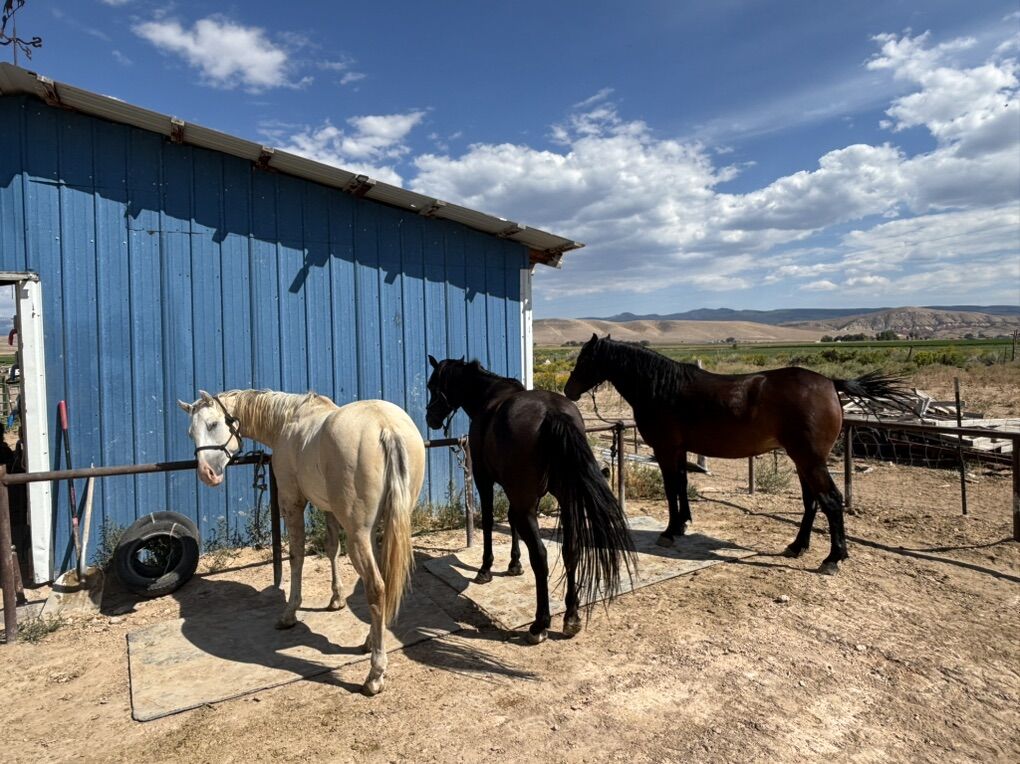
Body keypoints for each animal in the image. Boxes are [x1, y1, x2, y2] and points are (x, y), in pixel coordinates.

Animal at [178, 389, 425, 695]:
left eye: (212, 424)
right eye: (191, 432)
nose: (206, 474)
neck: (288, 421)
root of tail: (386, 427)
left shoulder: (292, 501)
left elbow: (296, 555)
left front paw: (289, 613)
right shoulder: (328, 508)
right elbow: (331, 548)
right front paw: (336, 599)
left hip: (359, 534)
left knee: (376, 587)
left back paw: (374, 674)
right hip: (388, 524)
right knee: (385, 580)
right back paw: (370, 641)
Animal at [425, 356, 635, 643]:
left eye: (432, 385)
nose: (430, 417)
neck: (489, 396)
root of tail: (553, 414)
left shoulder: (484, 479)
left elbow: (489, 522)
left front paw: (485, 569)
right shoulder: (521, 497)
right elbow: (511, 523)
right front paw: (514, 564)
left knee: (541, 556)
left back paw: (539, 624)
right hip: (566, 502)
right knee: (571, 550)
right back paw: (571, 617)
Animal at [563, 335, 914, 575]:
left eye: (584, 360)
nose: (568, 391)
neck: (661, 388)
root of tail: (830, 382)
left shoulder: (665, 449)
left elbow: (671, 488)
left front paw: (670, 531)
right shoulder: (679, 450)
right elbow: (682, 486)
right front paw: (682, 525)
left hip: (810, 460)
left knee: (830, 500)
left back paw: (832, 558)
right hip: (803, 461)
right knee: (812, 502)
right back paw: (797, 547)